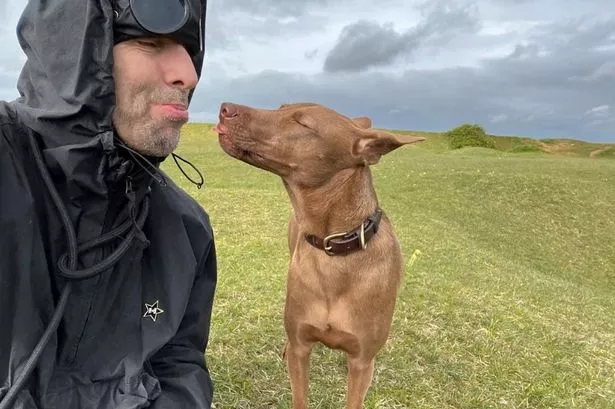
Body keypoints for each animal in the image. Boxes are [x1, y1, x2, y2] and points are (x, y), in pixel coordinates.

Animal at [214, 102, 426, 408]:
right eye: (281, 107)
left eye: (302, 123)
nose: (225, 108)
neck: (334, 251)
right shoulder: (302, 346)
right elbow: (299, 392)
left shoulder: (362, 362)